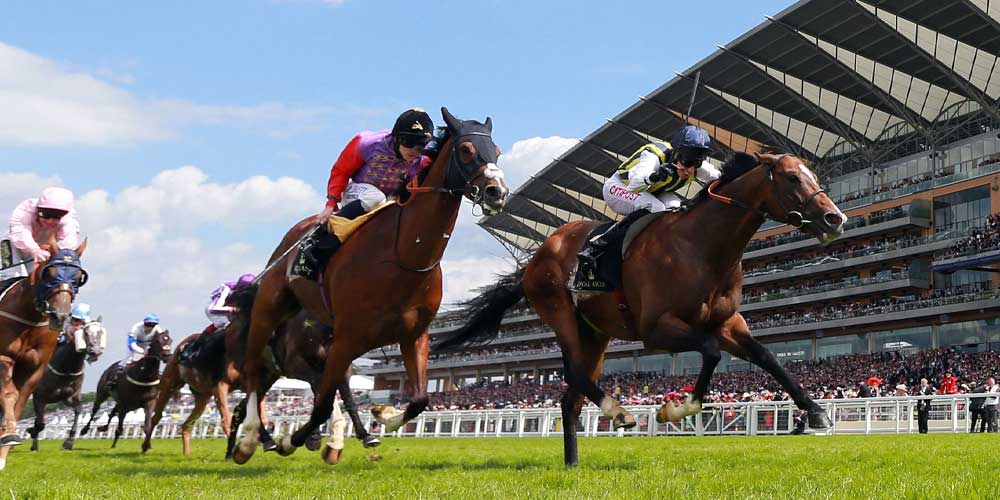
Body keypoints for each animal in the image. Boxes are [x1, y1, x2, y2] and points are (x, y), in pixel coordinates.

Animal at [0, 240, 89, 470]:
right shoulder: (4, 358)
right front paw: (10, 435)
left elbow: (19, 401)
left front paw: (4, 453)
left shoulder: (34, 370)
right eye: (49, 272)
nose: (60, 315)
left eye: (78, 277)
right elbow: (10, 395)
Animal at [26, 318, 106, 452]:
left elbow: (78, 410)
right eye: (85, 333)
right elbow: (40, 423)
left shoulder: (69, 397)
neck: (66, 368)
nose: (95, 352)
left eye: (100, 332)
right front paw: (31, 431)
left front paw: (68, 443)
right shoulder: (39, 396)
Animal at [235, 109, 512, 464]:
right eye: (465, 150)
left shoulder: (413, 334)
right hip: (268, 309)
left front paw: (383, 416)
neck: (402, 255)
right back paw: (248, 440)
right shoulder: (346, 339)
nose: (497, 192)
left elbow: (419, 400)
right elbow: (323, 404)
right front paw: (293, 440)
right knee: (253, 371)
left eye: (498, 152)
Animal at [438, 151, 844, 464]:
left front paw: (815, 411)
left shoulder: (728, 323)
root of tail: (536, 256)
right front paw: (677, 408)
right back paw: (618, 412)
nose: (835, 218)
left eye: (814, 175)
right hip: (559, 311)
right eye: (792, 177)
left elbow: (767, 357)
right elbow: (711, 351)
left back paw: (573, 463)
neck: (702, 246)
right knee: (575, 375)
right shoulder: (656, 328)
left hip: (595, 334)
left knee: (571, 396)